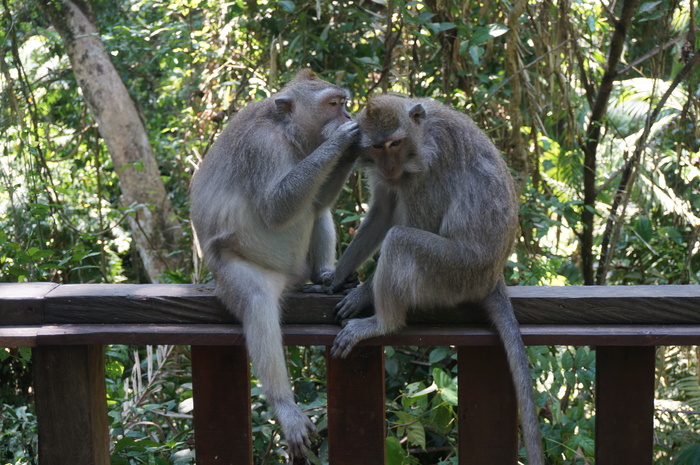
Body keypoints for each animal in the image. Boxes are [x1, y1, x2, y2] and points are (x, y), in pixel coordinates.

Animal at [189, 69, 358, 456]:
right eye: (333, 104)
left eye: (343, 102)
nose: (348, 115)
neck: (286, 131)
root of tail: (290, 278)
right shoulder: (262, 147)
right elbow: (275, 208)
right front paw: (341, 140)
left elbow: (317, 201)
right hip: (236, 269)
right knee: (257, 301)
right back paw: (284, 405)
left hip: (300, 267)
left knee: (316, 209)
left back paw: (326, 277)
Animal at [326, 94, 544, 464]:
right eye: (378, 147)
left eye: (395, 143)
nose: (389, 166)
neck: (419, 137)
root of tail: (492, 276)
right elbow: (382, 211)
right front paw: (338, 274)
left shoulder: (428, 170)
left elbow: (416, 223)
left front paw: (361, 294)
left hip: (453, 273)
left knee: (401, 240)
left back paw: (382, 323)